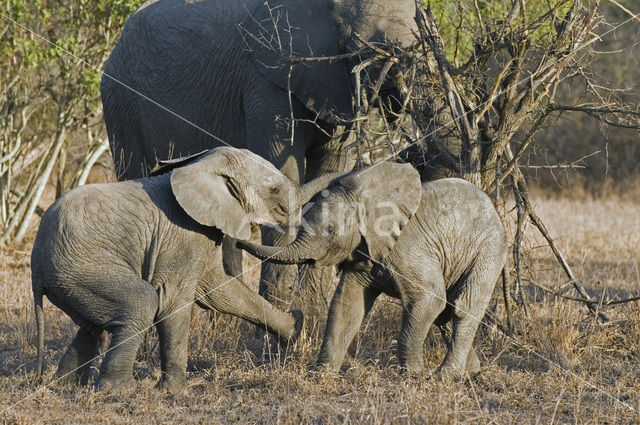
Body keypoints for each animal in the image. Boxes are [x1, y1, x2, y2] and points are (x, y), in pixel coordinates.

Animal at [32, 147, 338, 392]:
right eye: (273, 190)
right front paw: (175, 392)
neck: (201, 166)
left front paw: (295, 329)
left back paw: (65, 386)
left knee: (92, 325)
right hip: (83, 268)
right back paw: (118, 390)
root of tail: (36, 270)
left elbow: (220, 291)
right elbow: (174, 301)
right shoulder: (183, 234)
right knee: (141, 304)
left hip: (75, 279)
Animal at [102, 0, 418, 306]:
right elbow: (283, 174)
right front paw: (281, 319)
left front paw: (309, 319)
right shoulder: (267, 83)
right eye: (366, 50)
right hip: (122, 103)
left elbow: (331, 162)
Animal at [240, 162, 510, 374]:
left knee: (462, 307)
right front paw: (320, 374)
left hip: (489, 249)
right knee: (445, 313)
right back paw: (471, 372)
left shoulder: (407, 248)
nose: (235, 239)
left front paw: (414, 376)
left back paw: (447, 376)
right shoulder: (361, 254)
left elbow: (430, 297)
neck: (365, 198)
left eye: (330, 230)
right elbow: (346, 306)